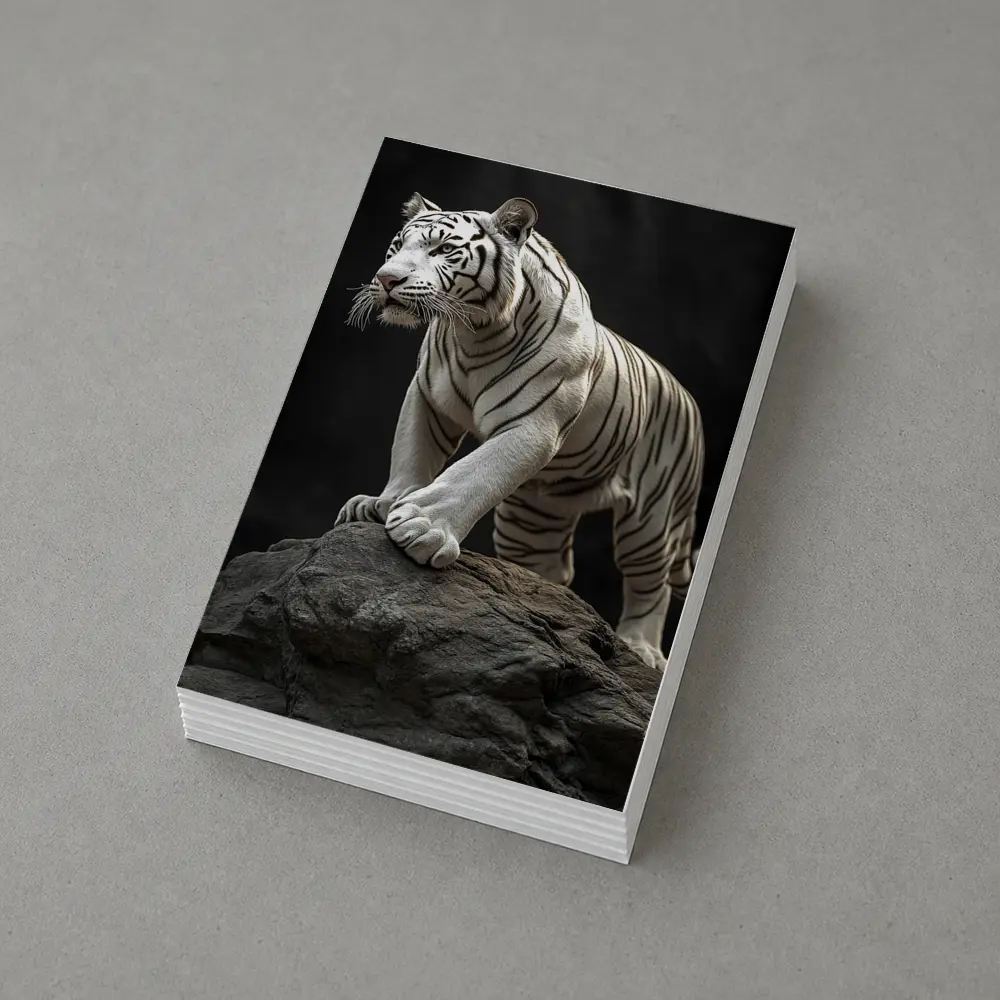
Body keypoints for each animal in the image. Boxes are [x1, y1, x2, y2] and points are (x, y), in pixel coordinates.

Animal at [336, 192, 705, 671]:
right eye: (396, 248)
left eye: (442, 250)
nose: (386, 279)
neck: (474, 331)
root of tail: (686, 395)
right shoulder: (427, 396)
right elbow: (412, 452)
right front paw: (383, 504)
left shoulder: (532, 424)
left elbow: (472, 473)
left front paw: (421, 526)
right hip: (532, 521)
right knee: (552, 571)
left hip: (653, 516)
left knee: (649, 584)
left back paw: (641, 648)